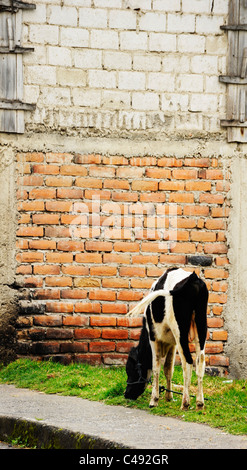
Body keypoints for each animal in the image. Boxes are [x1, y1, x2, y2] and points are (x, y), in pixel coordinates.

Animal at [124, 268, 207, 412]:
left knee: (188, 362)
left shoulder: (153, 337)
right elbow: (168, 368)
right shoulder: (172, 343)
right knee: (200, 361)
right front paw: (169, 397)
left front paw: (154, 400)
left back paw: (185, 403)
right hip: (201, 327)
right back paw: (200, 403)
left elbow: (156, 367)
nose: (126, 394)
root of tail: (193, 278)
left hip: (180, 331)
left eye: (129, 369)